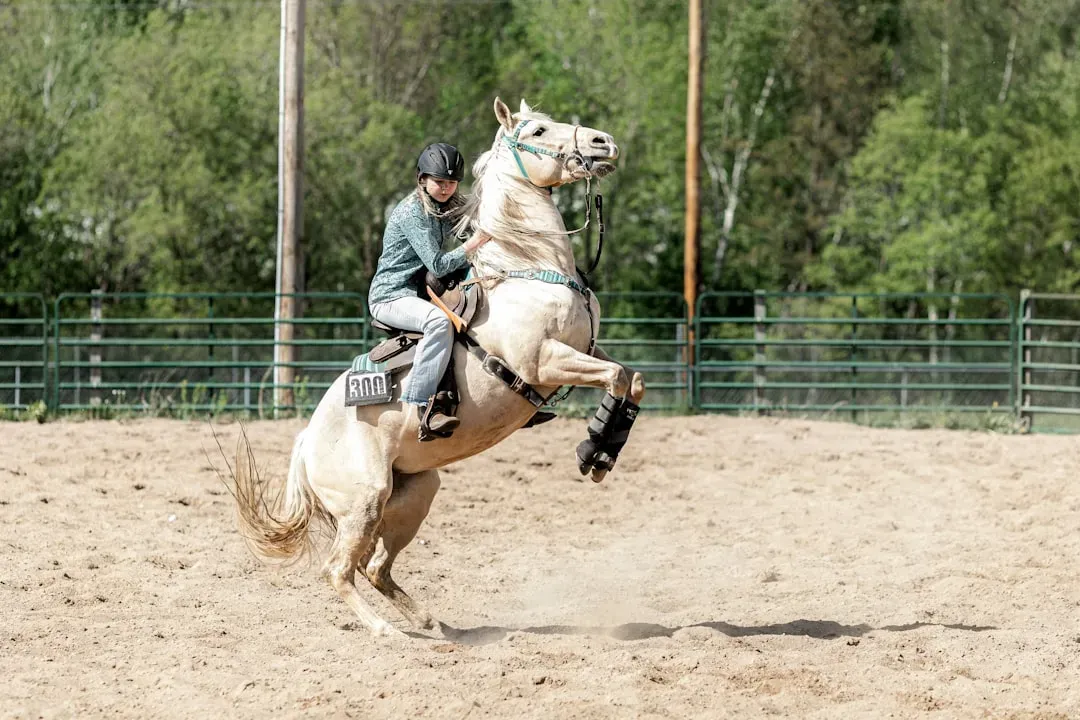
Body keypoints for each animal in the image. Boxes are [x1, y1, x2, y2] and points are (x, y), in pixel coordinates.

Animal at [229, 97, 647, 637]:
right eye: (537, 130)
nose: (603, 142)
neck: (525, 267)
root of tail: (305, 443)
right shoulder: (544, 360)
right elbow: (616, 378)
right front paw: (593, 448)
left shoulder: (587, 350)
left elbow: (631, 378)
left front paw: (605, 450)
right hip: (366, 500)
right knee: (340, 569)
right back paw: (385, 631)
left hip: (416, 492)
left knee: (375, 568)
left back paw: (433, 623)